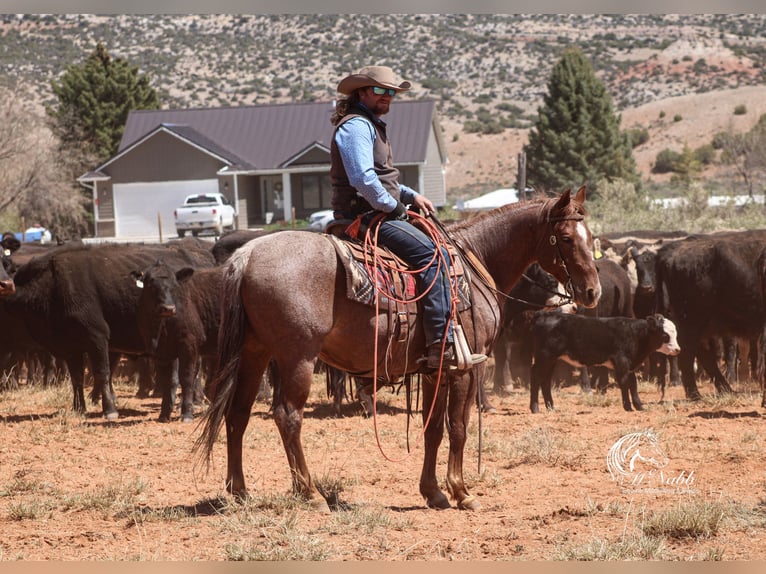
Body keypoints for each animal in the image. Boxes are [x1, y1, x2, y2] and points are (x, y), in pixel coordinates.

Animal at [6, 241, 216, 420]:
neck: (54, 286)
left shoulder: (97, 338)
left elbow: (102, 373)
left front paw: (109, 409)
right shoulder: (72, 347)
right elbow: (77, 377)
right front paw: (79, 407)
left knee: (192, 371)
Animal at [195, 187, 604, 510]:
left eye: (591, 236)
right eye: (566, 238)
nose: (592, 292)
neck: (475, 262)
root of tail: (246, 256)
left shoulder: (435, 368)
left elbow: (433, 428)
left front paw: (434, 492)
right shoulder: (467, 366)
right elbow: (458, 427)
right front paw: (462, 491)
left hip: (254, 353)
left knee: (237, 414)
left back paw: (240, 491)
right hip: (298, 358)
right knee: (287, 416)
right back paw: (310, 493)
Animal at [520, 312, 680, 416]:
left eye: (675, 334)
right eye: (665, 335)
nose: (678, 350)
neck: (635, 333)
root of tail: (542, 316)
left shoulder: (630, 365)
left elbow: (633, 384)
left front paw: (639, 406)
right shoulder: (621, 362)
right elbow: (624, 383)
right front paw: (628, 407)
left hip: (551, 359)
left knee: (545, 380)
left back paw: (551, 407)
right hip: (544, 357)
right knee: (535, 377)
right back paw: (535, 408)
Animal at [656, 232, 766, 402]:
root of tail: (674, 249)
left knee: (703, 354)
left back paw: (726, 390)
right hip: (693, 321)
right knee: (689, 353)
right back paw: (696, 394)